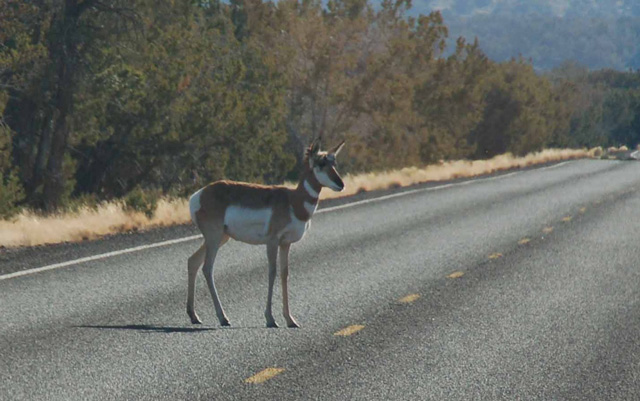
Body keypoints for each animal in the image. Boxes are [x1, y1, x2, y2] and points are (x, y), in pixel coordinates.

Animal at [186, 139, 344, 326]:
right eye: (321, 163)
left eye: (334, 163)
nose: (341, 184)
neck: (293, 201)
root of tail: (198, 196)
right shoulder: (272, 241)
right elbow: (272, 272)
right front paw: (270, 319)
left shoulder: (285, 243)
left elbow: (284, 274)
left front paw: (290, 320)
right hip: (214, 237)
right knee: (207, 268)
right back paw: (223, 318)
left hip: (221, 238)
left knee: (193, 261)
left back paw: (194, 316)